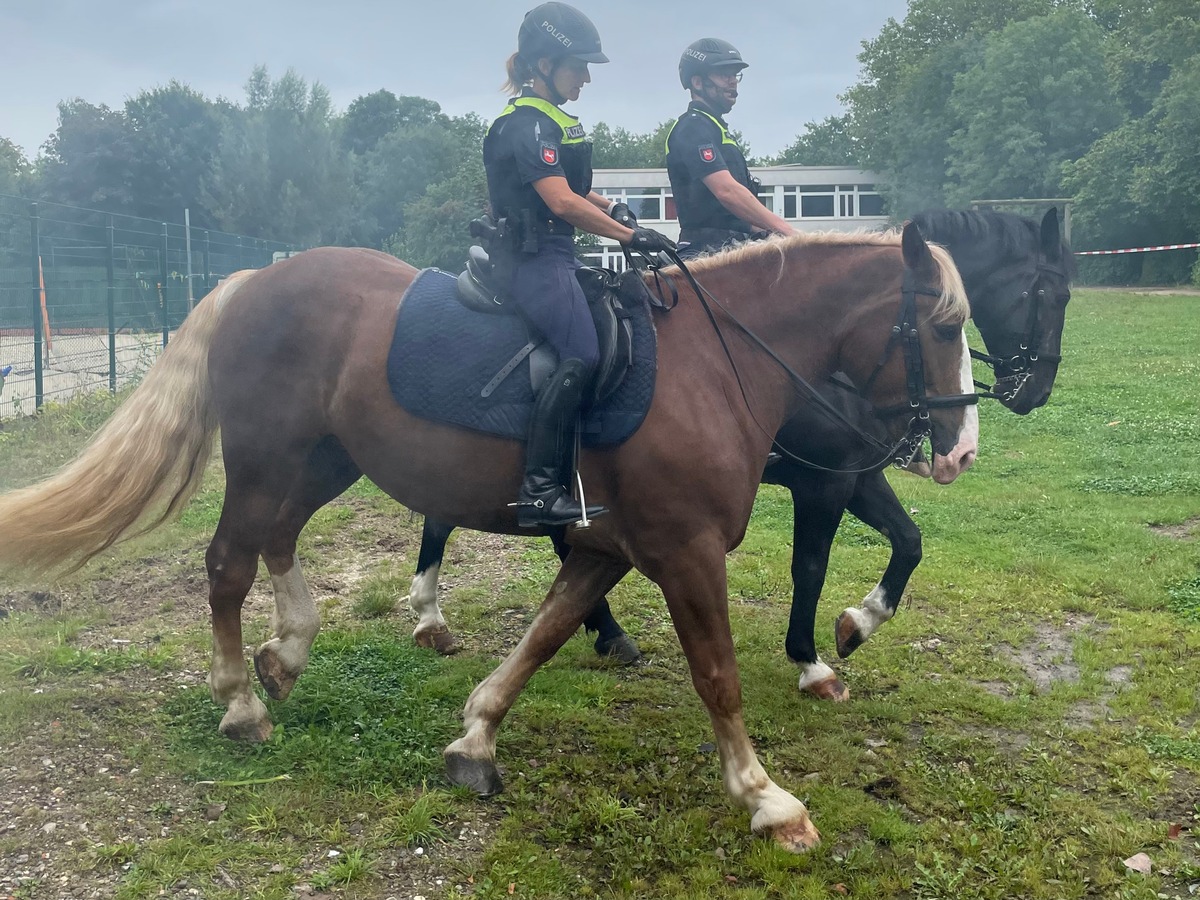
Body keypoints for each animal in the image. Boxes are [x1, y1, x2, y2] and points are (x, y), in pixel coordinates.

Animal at [0, 225, 974, 854]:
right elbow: (717, 675)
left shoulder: (605, 548)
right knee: (226, 564)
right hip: (269, 458)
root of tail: (253, 283)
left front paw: (475, 740)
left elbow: (544, 635)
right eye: (946, 326)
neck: (715, 365)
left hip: (326, 459)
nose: (960, 450)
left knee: (275, 540)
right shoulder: (685, 550)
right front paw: (767, 799)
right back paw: (242, 703)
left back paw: (290, 651)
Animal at [400, 210, 1070, 696]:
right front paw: (810, 660)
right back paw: (437, 616)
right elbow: (811, 566)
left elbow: (909, 542)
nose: (1034, 391)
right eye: (1046, 294)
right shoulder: (825, 483)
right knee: (457, 519)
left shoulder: (855, 477)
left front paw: (857, 623)